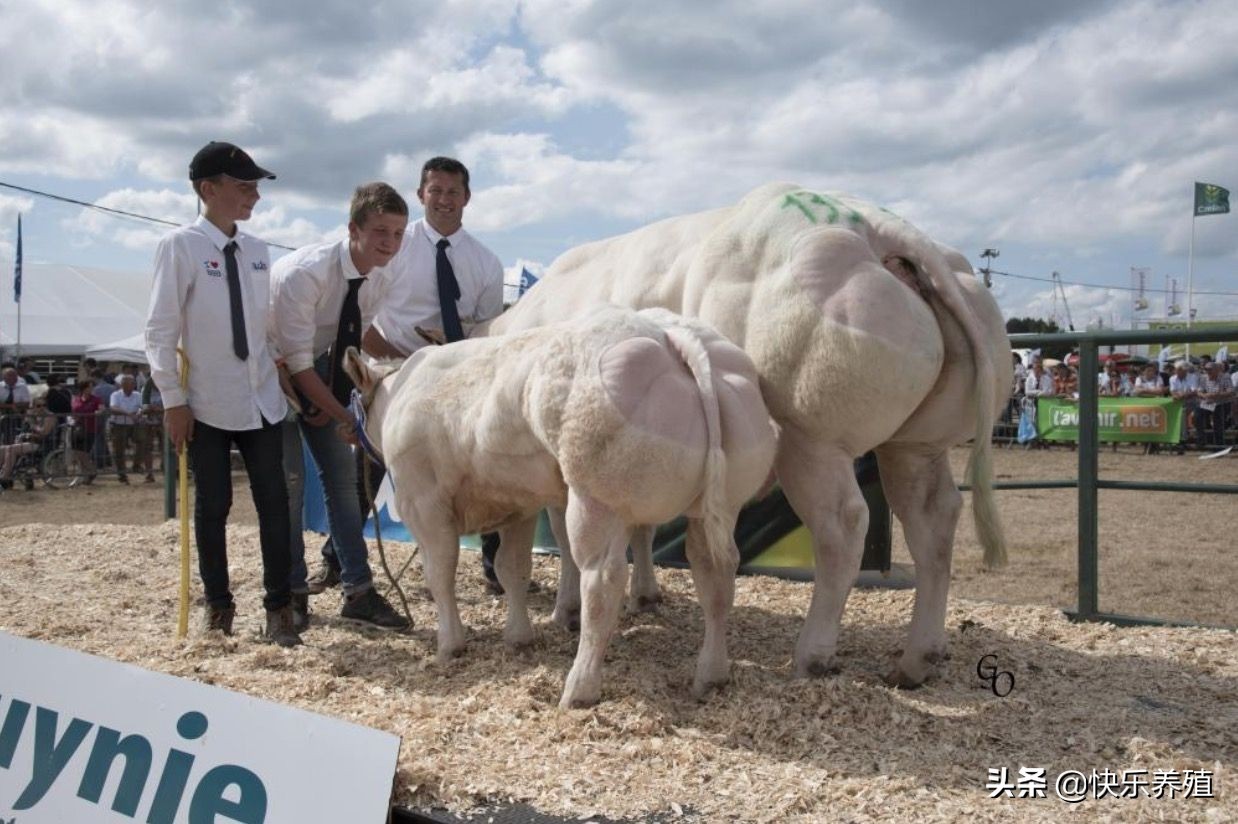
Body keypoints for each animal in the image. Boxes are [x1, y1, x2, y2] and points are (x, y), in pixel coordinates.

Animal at [344, 304, 772, 702]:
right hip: (719, 505)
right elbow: (512, 568)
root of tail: (668, 332)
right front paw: (518, 637)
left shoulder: (422, 501)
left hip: (597, 499)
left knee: (601, 582)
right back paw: (711, 675)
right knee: (715, 576)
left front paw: (450, 644)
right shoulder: (516, 503)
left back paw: (579, 688)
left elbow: (440, 572)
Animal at [487, 181, 1010, 687]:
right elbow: (643, 525)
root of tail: (883, 229)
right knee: (934, 517)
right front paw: (646, 594)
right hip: (917, 444)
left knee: (843, 524)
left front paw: (567, 610)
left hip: (812, 435)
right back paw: (917, 659)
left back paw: (813, 655)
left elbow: (564, 534)